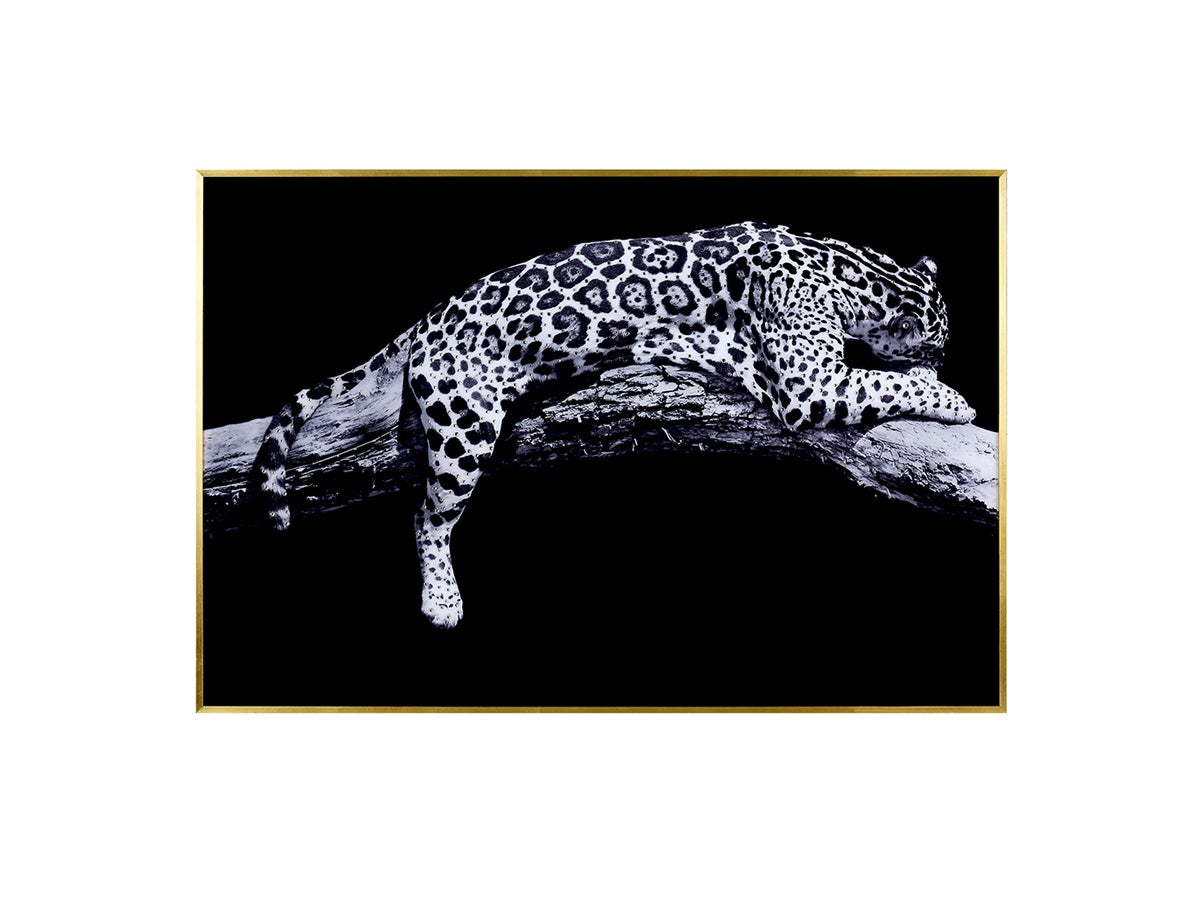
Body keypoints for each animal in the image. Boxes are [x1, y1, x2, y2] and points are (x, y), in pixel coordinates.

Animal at [250, 222, 975, 628]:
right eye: (940, 344)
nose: (946, 360)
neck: (853, 268)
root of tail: (429, 315)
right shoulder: (808, 382)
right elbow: (883, 379)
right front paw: (951, 395)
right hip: (464, 422)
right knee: (427, 516)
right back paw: (442, 602)